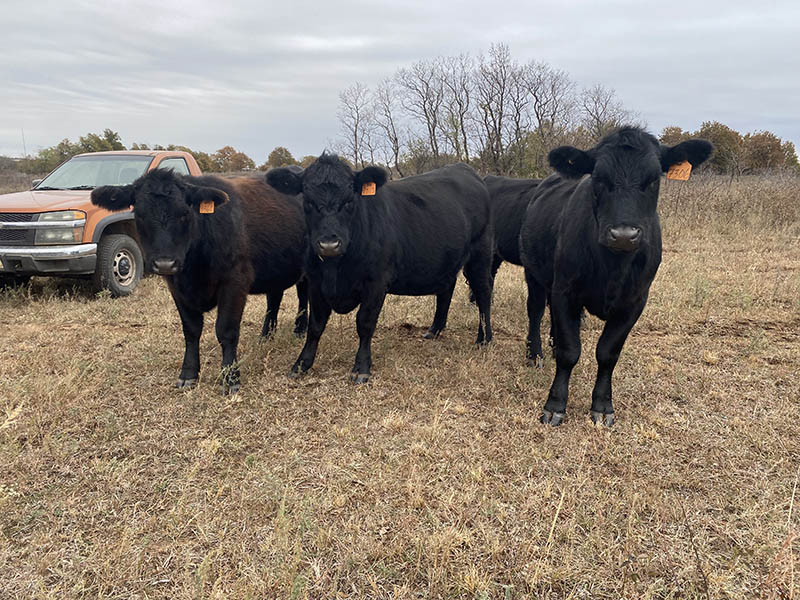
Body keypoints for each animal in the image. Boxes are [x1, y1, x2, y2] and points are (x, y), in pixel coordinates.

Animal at [91, 168, 308, 394]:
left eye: (185, 214)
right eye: (140, 215)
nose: (165, 263)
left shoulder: (235, 282)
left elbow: (226, 330)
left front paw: (230, 377)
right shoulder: (177, 288)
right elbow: (191, 330)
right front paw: (188, 374)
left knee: (302, 295)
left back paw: (299, 330)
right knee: (274, 298)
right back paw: (266, 336)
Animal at [266, 154, 495, 383]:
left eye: (349, 201)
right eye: (308, 202)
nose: (329, 244)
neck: (336, 270)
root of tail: (465, 169)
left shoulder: (376, 282)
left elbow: (365, 323)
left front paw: (361, 368)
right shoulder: (315, 282)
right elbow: (315, 325)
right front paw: (301, 364)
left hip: (480, 254)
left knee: (483, 293)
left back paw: (484, 338)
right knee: (447, 289)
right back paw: (435, 330)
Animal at [520, 126, 712, 426]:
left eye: (653, 180)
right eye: (598, 178)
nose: (623, 234)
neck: (613, 267)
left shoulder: (635, 301)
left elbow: (607, 353)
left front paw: (602, 406)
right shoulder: (565, 290)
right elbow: (569, 351)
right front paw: (555, 405)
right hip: (535, 274)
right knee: (536, 311)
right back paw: (535, 354)